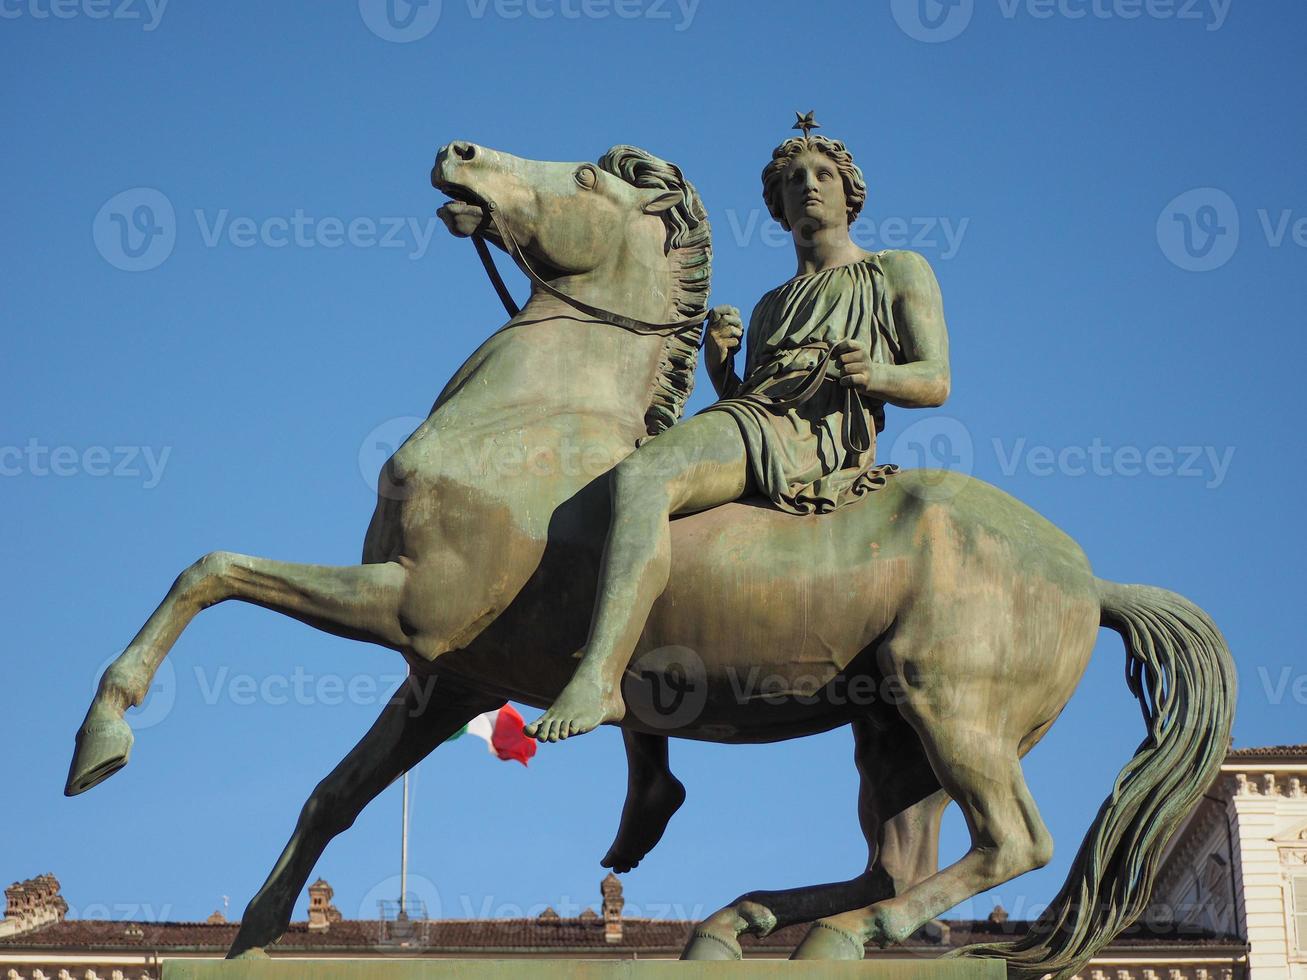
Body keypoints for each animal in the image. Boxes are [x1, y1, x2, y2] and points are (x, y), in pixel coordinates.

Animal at [68, 141, 1233, 977]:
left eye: (581, 176)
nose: (456, 151)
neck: (527, 421)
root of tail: (1089, 579)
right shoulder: (449, 676)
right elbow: (331, 794)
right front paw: (253, 931)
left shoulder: (414, 609)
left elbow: (213, 569)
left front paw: (101, 740)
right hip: (890, 735)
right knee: (894, 856)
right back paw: (749, 923)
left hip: (951, 704)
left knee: (1011, 842)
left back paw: (844, 930)